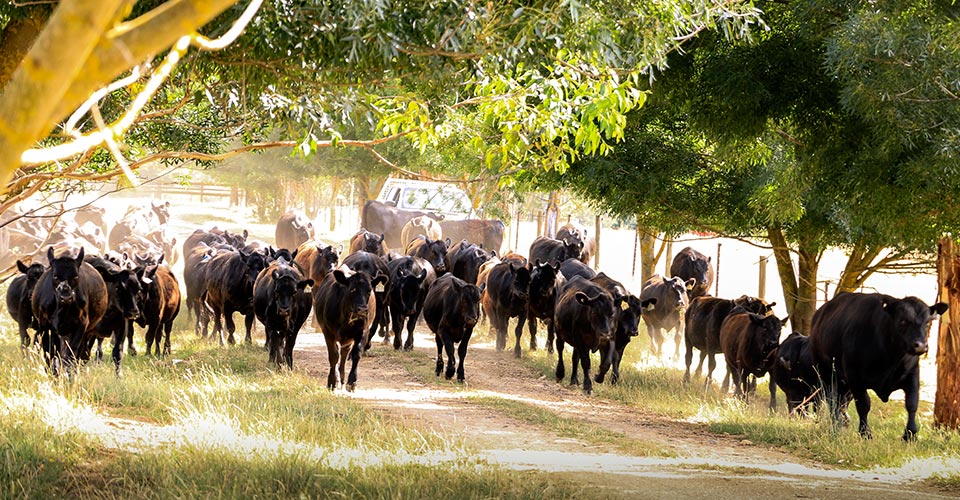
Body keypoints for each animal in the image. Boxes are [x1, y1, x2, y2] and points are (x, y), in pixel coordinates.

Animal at [31, 246, 108, 376]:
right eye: (55, 276)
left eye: (75, 276)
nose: (66, 297)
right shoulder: (45, 326)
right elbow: (50, 353)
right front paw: (54, 374)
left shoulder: (81, 325)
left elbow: (71, 353)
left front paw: (69, 375)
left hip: (87, 332)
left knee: (82, 353)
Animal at [808, 292, 948, 442]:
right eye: (902, 320)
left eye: (927, 322)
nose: (921, 346)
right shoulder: (854, 376)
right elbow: (864, 405)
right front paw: (865, 433)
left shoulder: (912, 374)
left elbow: (912, 404)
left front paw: (910, 434)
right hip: (825, 372)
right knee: (832, 399)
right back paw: (836, 425)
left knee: (841, 402)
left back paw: (843, 423)